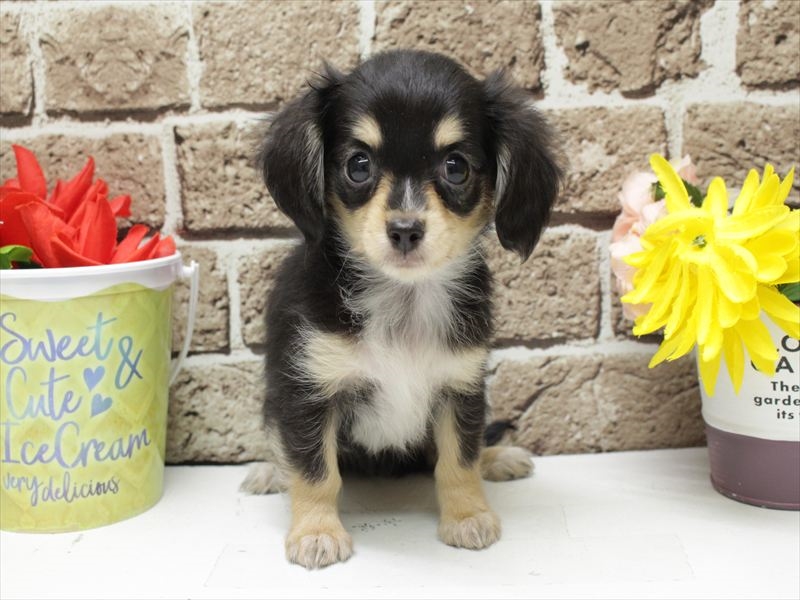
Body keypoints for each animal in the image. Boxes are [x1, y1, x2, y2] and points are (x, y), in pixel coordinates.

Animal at [241, 49, 563, 569]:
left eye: (456, 167)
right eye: (358, 165)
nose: (406, 230)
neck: (401, 301)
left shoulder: (460, 387)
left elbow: (459, 460)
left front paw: (468, 516)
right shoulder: (307, 392)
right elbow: (314, 470)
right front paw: (316, 532)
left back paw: (499, 458)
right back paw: (270, 472)